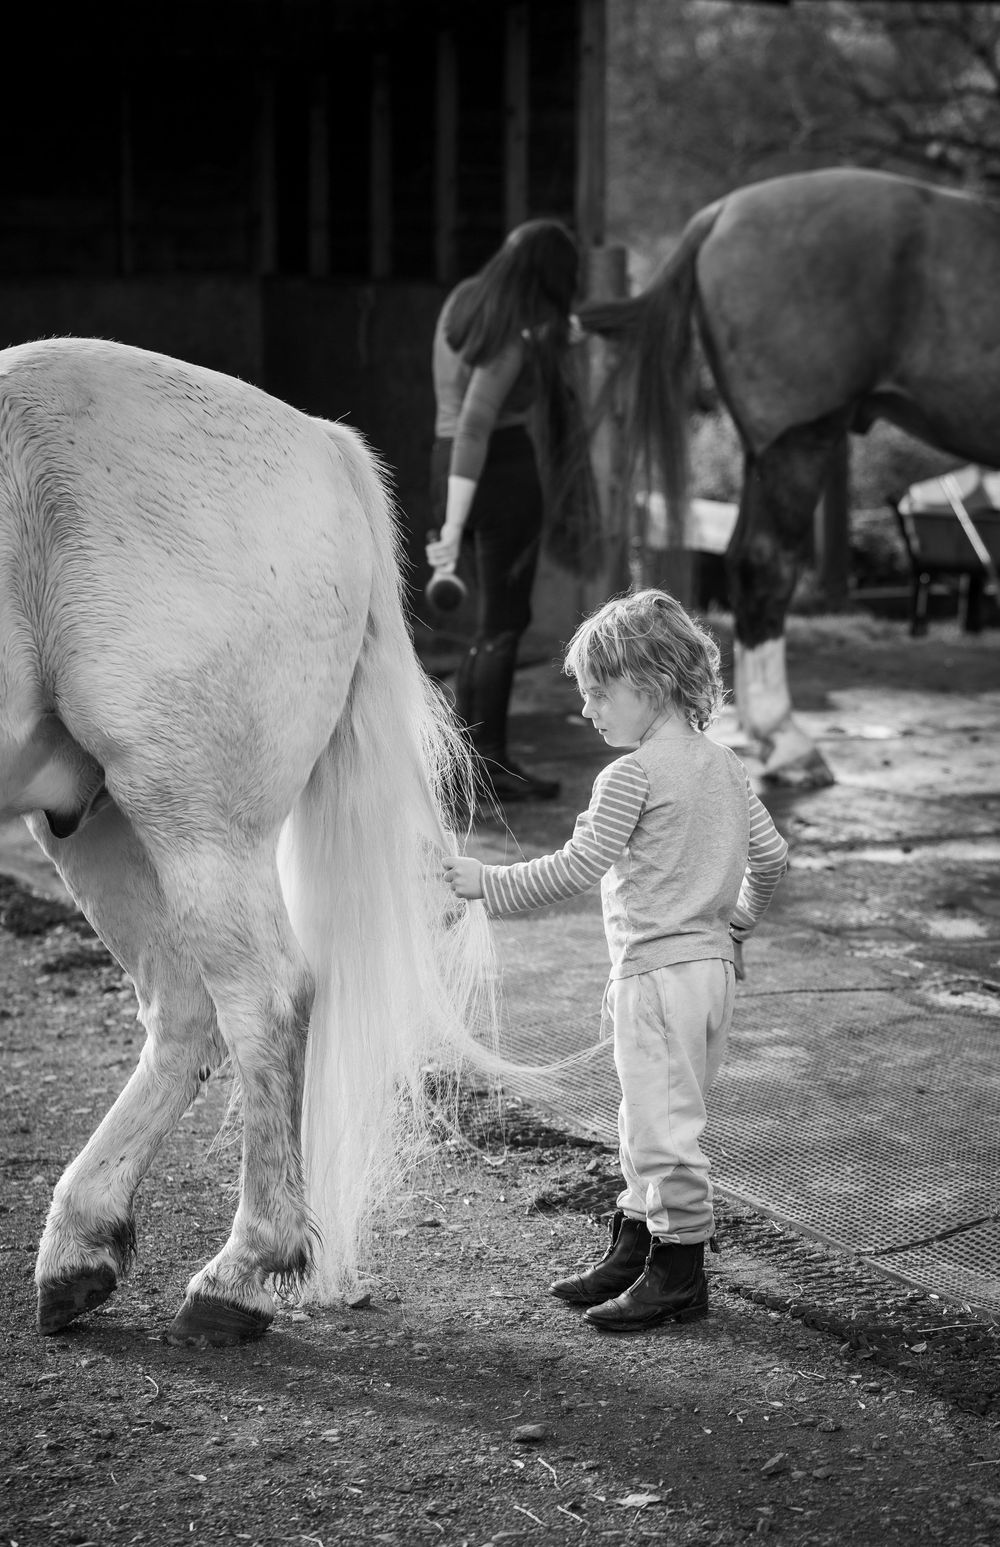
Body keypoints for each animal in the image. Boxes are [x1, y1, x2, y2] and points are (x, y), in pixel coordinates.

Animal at [0, 336, 497, 1346]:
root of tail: (318, 443)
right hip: (97, 820)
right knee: (185, 1010)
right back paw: (81, 1245)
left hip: (192, 820)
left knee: (261, 998)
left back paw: (237, 1272)